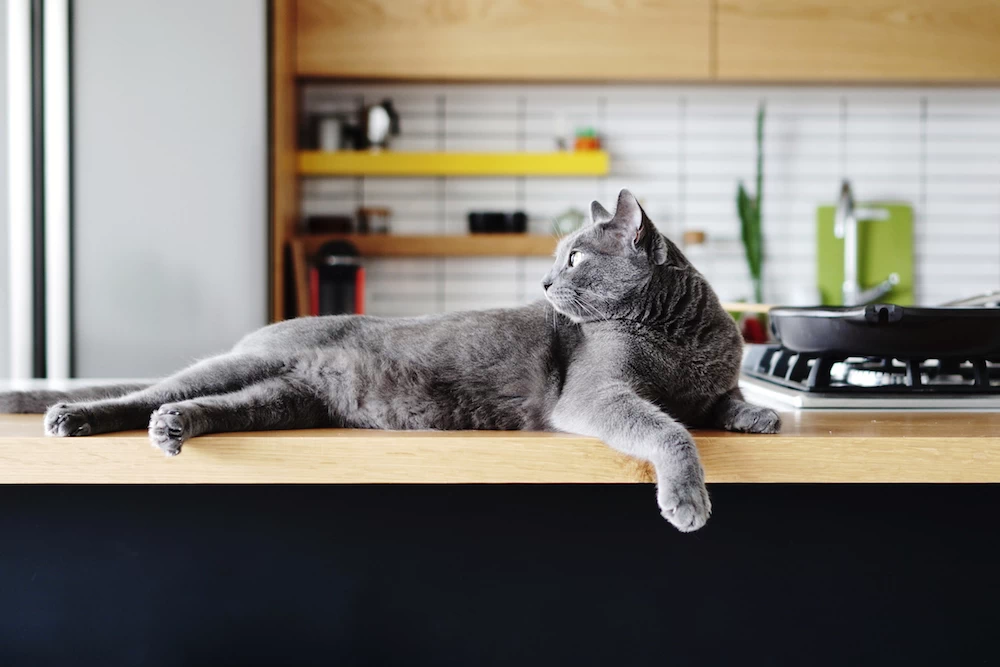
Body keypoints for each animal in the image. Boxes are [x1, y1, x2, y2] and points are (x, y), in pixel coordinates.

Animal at [0, 190, 780, 536]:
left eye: (575, 257)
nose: (543, 284)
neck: (676, 333)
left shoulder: (712, 379)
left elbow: (721, 400)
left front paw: (762, 417)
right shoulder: (596, 394)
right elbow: (669, 428)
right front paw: (688, 499)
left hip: (285, 398)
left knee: (201, 406)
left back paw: (171, 428)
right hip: (244, 368)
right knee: (147, 391)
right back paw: (76, 416)